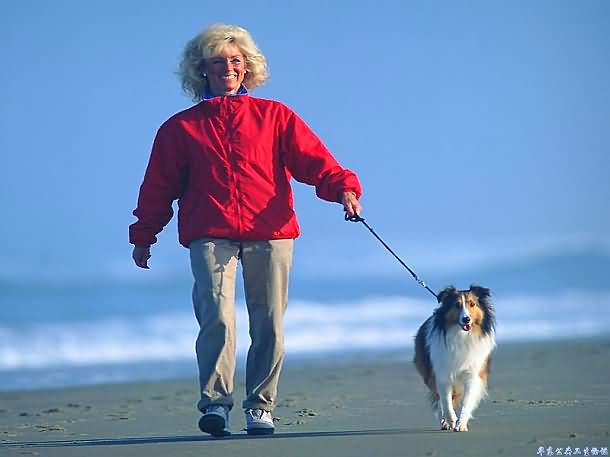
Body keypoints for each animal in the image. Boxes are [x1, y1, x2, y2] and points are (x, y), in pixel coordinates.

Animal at [414, 284, 494, 432]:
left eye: (472, 304)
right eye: (457, 305)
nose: (466, 319)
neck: (461, 336)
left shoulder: (472, 374)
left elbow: (467, 402)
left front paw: (461, 424)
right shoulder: (442, 374)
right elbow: (446, 402)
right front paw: (450, 421)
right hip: (429, 374)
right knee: (439, 400)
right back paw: (444, 421)